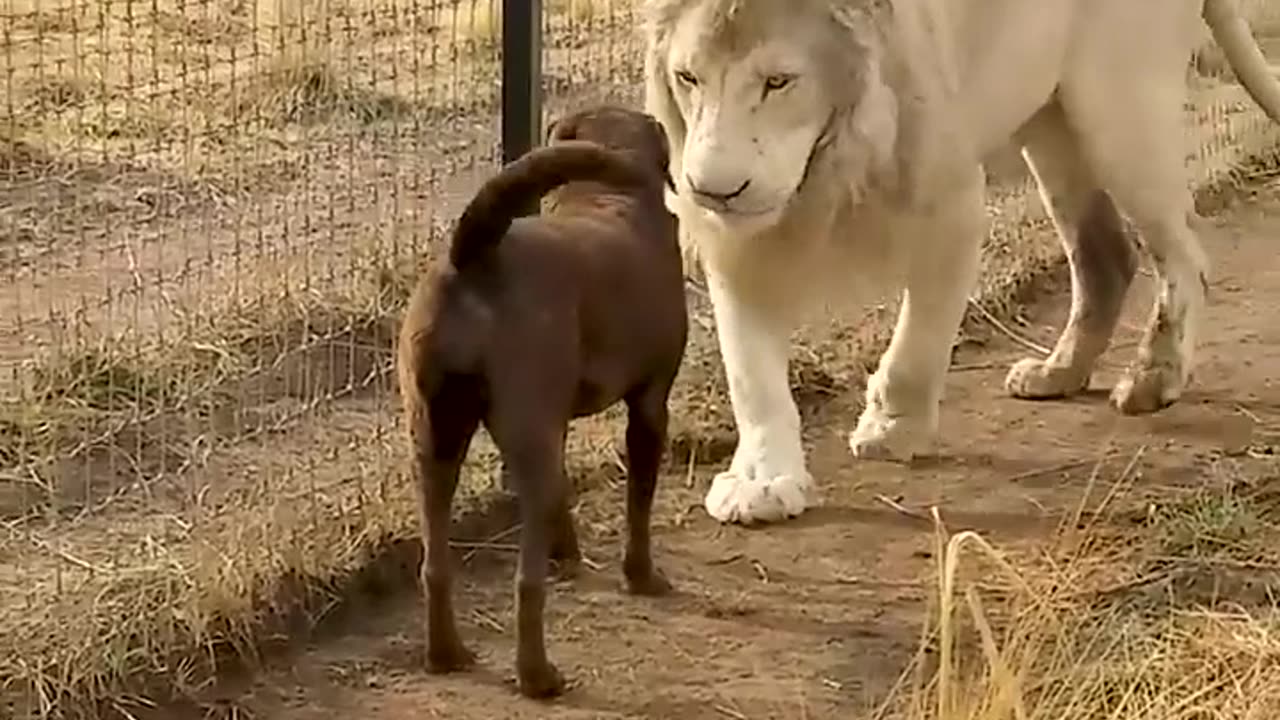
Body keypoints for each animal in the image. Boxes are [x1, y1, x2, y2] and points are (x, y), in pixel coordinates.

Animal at [396, 106, 691, 696]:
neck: (607, 196)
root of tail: (473, 255)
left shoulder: (557, 421)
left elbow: (566, 495)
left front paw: (568, 554)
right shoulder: (650, 405)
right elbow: (639, 505)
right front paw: (641, 576)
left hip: (435, 439)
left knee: (435, 565)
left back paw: (446, 654)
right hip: (522, 439)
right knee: (525, 582)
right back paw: (537, 676)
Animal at [645, 2, 1280, 525]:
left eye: (778, 81)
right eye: (688, 78)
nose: (713, 191)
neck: (836, 158)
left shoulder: (951, 204)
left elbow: (918, 342)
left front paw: (891, 429)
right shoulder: (735, 244)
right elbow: (750, 373)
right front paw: (762, 481)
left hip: (1118, 108)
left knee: (1185, 253)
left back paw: (1154, 379)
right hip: (1049, 120)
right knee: (1106, 253)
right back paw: (1058, 374)